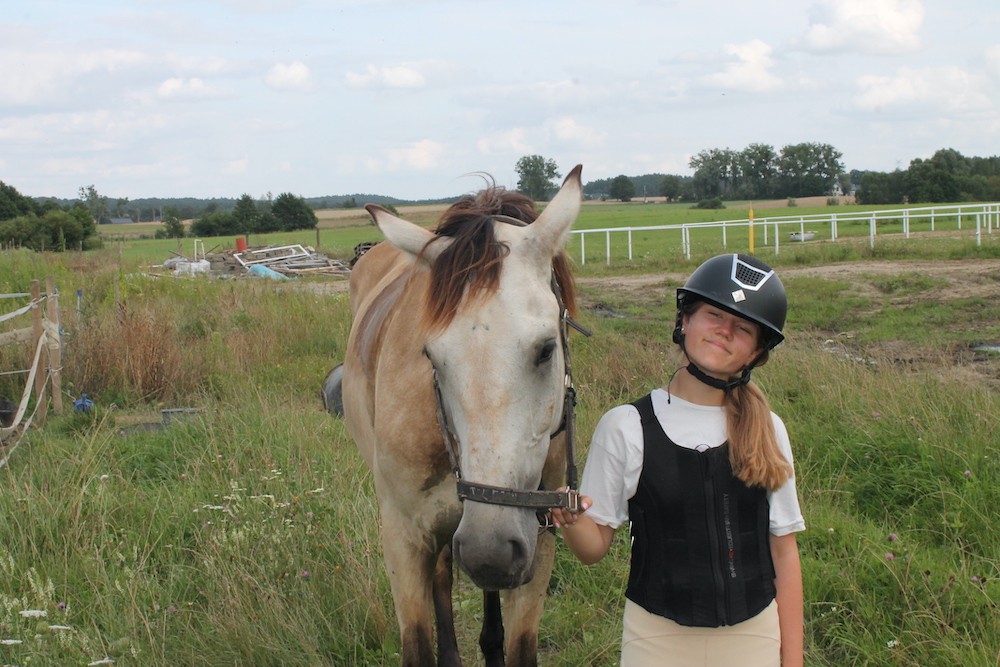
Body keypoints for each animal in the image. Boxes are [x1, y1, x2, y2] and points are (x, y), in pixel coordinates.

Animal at [341, 166, 584, 666]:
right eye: (432, 356)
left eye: (546, 349)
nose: (489, 551)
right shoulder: (402, 537)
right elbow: (418, 643)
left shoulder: (537, 537)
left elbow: (519, 646)